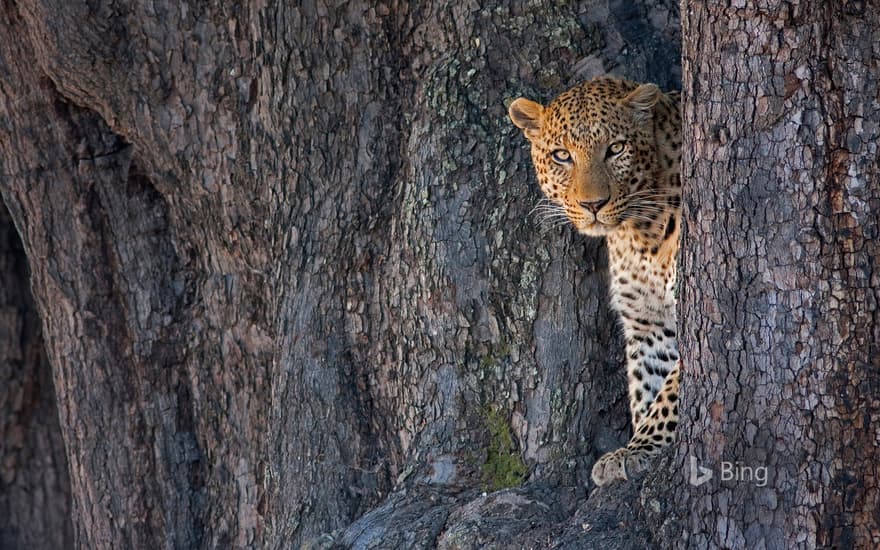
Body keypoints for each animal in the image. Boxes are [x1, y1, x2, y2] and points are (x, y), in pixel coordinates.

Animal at [506, 76, 684, 488]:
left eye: (615, 149)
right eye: (562, 156)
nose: (593, 205)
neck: (641, 233)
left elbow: (672, 390)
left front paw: (642, 446)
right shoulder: (648, 323)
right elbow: (648, 386)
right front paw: (638, 445)